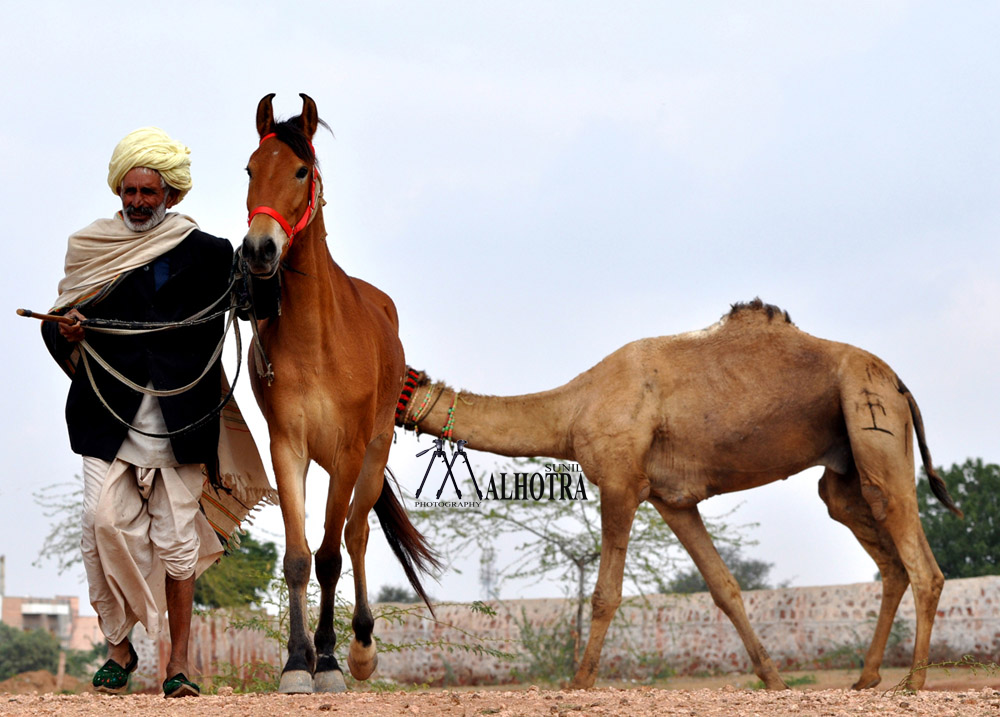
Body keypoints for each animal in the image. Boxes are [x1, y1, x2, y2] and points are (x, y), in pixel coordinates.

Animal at [242, 95, 438, 692]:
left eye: (301, 170)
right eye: (250, 170)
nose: (258, 250)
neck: (317, 340)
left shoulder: (350, 449)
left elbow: (331, 554)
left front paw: (327, 661)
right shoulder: (288, 446)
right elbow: (299, 557)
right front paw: (296, 662)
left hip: (370, 456)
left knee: (356, 533)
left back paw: (361, 647)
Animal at [396, 296, 960, 688]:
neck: (573, 410)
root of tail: (899, 382)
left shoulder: (621, 481)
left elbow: (605, 593)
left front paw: (578, 683)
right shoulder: (672, 499)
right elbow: (724, 588)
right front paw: (775, 681)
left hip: (872, 415)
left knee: (919, 560)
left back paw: (912, 684)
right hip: (844, 467)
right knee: (881, 551)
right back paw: (866, 679)